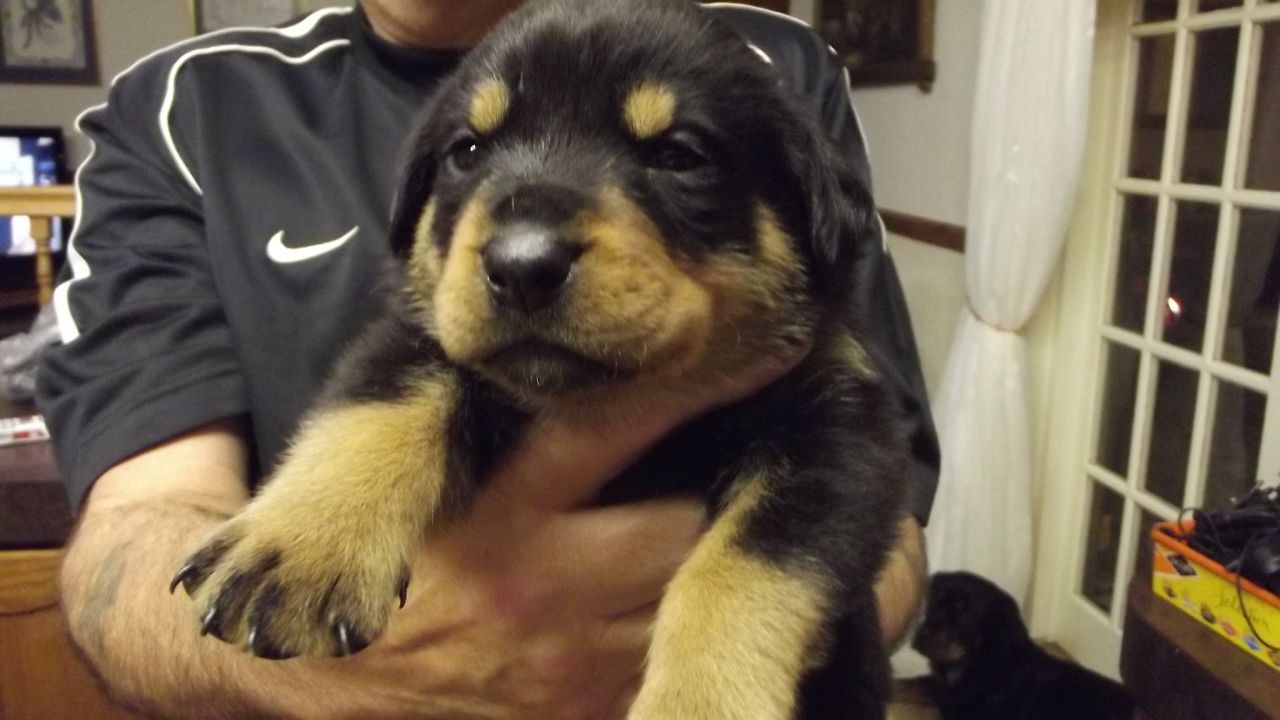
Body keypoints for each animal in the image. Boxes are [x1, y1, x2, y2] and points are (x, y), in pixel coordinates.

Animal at [172, 2, 911, 712]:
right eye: (467, 151)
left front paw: (696, 702)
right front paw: (303, 546)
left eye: (679, 155)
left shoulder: (838, 428)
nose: (522, 265)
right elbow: (380, 408)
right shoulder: (419, 330)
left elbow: (746, 566)